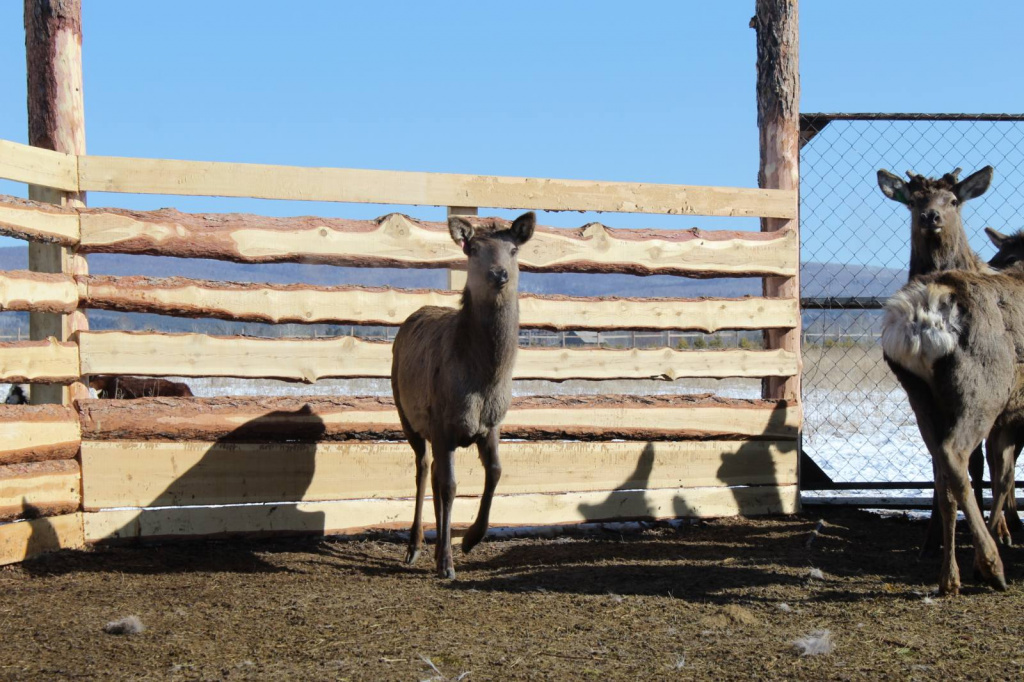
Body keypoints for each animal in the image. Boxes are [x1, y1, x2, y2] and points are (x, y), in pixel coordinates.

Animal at [389, 209, 536, 577]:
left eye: (513, 249)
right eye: (474, 249)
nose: (498, 274)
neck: (484, 381)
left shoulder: (492, 424)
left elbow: (495, 472)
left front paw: (470, 538)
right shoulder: (442, 423)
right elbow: (451, 487)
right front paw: (446, 562)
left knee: (435, 475)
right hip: (406, 414)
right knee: (424, 469)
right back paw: (415, 546)